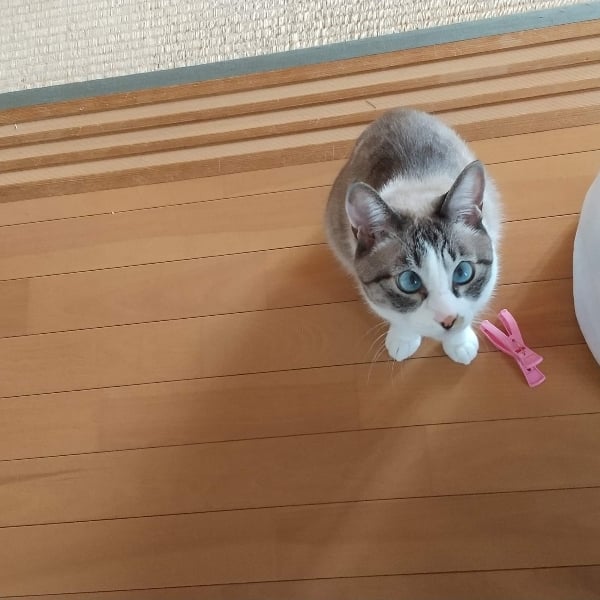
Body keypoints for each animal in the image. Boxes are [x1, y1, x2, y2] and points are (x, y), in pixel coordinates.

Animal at [325, 108, 502, 365]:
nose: (447, 320)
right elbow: (396, 316)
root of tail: (395, 111)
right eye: (409, 281)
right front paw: (403, 340)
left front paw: (459, 344)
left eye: (463, 272)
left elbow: (470, 310)